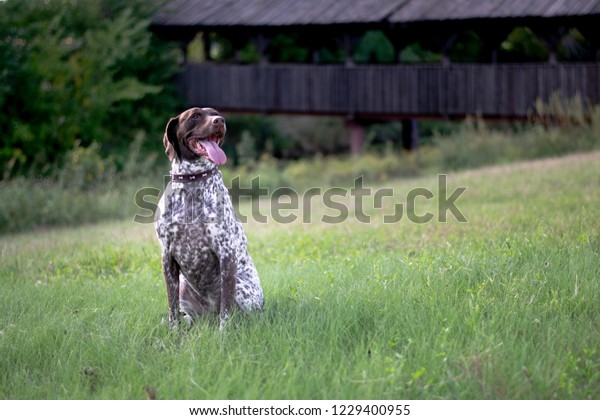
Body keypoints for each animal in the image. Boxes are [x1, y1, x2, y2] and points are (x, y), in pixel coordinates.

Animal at [156, 106, 264, 330]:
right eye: (195, 115)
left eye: (216, 113)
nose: (220, 121)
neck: (192, 182)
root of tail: (208, 315)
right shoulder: (167, 256)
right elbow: (172, 307)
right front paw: (172, 332)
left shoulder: (226, 252)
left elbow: (226, 311)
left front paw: (224, 333)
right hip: (184, 289)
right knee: (186, 315)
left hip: (240, 288)